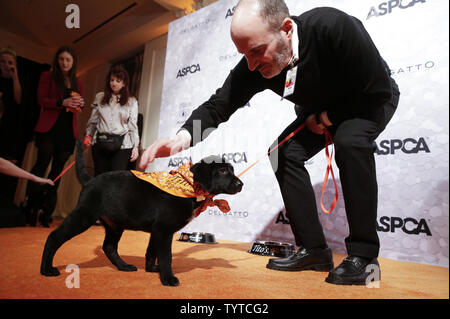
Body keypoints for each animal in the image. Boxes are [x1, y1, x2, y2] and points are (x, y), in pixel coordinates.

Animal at [39, 141, 243, 286]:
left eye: (232, 170)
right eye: (222, 170)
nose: (241, 184)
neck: (191, 187)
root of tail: (90, 181)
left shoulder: (157, 231)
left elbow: (151, 251)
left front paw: (152, 269)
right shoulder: (163, 230)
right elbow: (166, 255)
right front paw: (168, 278)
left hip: (115, 224)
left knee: (109, 247)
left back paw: (123, 266)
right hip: (84, 215)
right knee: (54, 237)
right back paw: (46, 269)